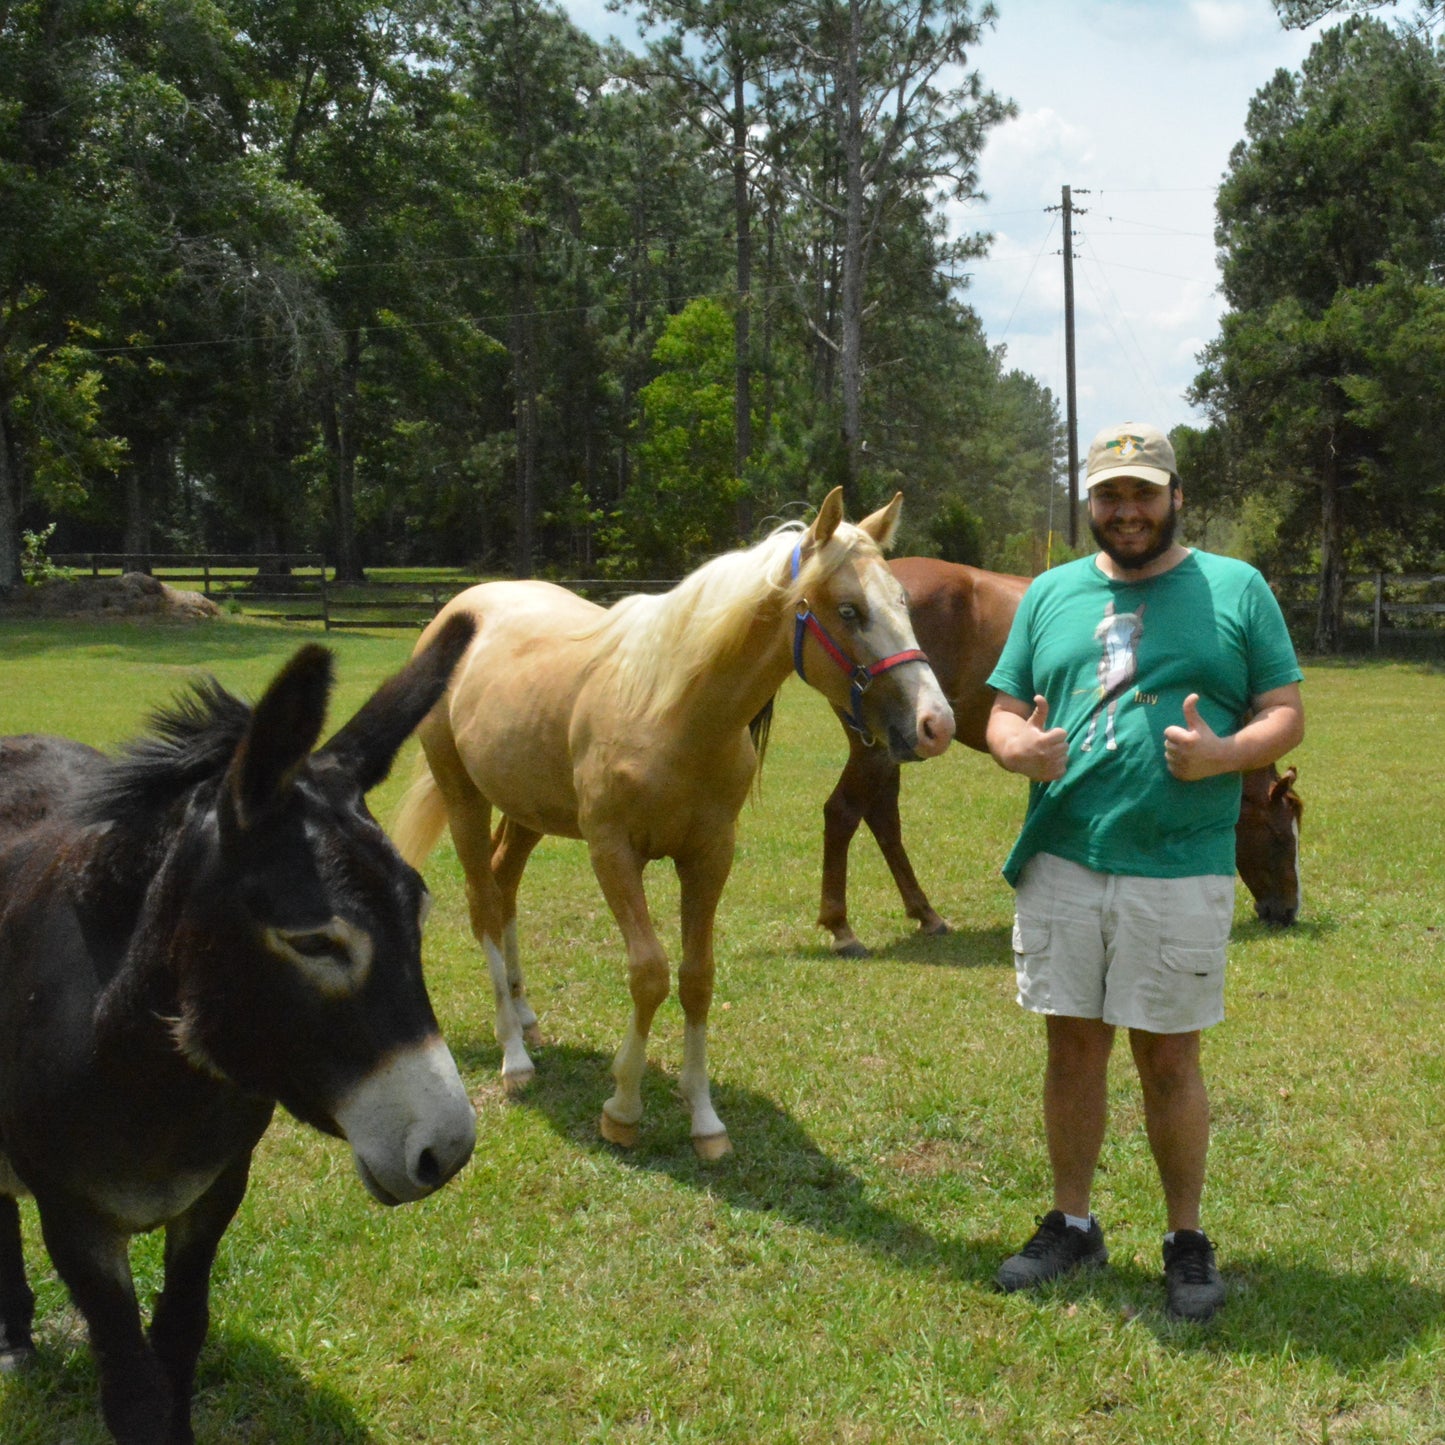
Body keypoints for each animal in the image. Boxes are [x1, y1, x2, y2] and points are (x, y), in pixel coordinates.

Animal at [0, 621, 476, 1445]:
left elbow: (179, 1338)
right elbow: (132, 1385)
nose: (448, 1152)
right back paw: (15, 1340)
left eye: (417, 911)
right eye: (313, 941)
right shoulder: (74, 1219)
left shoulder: (219, 1189)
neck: (153, 1082)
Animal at [395, 491, 953, 1156]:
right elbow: (649, 973)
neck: (672, 711)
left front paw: (704, 1117)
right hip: (464, 797)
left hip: (529, 809)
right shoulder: (612, 852)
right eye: (849, 610)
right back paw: (514, 1057)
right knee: (482, 902)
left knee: (505, 887)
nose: (936, 724)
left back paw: (526, 1017)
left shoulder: (710, 855)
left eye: (903, 601)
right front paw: (623, 1108)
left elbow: (696, 977)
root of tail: (458, 610)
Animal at [820, 557, 1306, 953]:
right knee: (843, 812)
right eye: (1281, 839)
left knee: (883, 819)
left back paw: (925, 914)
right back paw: (842, 929)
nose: (1287, 913)